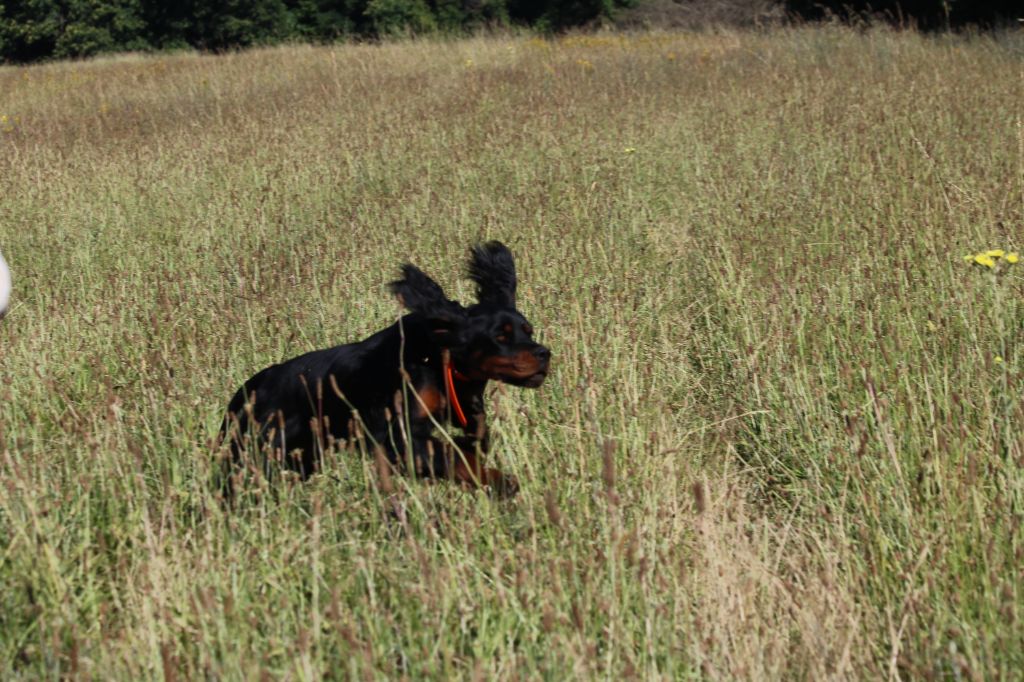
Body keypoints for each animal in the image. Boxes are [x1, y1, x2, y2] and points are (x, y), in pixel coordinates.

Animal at [219, 241, 548, 497]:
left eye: (528, 331)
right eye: (500, 336)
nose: (545, 354)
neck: (436, 356)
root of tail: (251, 387)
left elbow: (474, 438)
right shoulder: (398, 436)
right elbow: (451, 455)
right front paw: (500, 480)